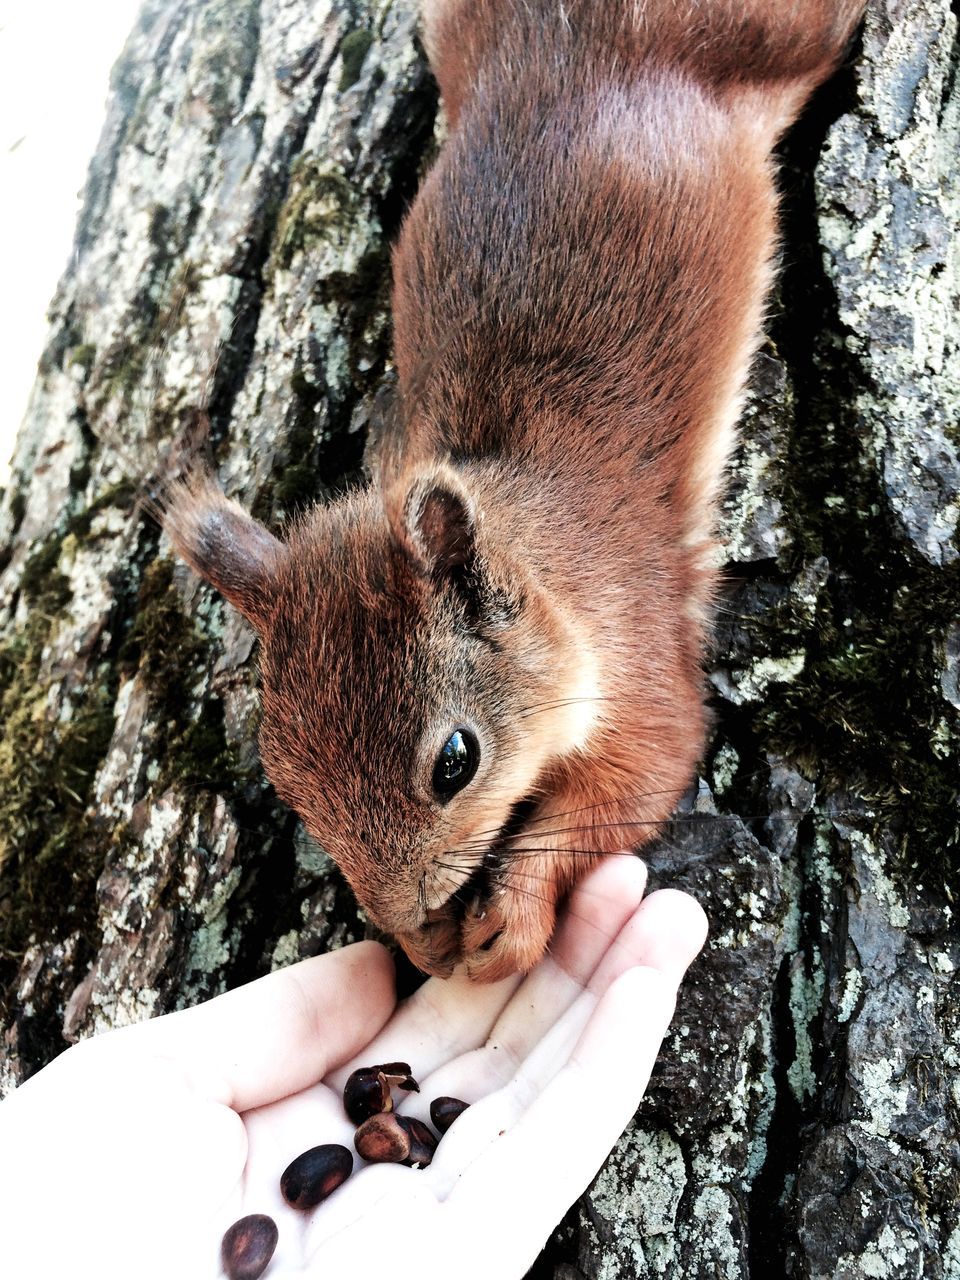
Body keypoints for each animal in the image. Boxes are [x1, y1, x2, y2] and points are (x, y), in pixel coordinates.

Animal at [165, 0, 870, 977]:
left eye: (455, 762)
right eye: (287, 780)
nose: (408, 921)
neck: (547, 563)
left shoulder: (641, 664)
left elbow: (631, 784)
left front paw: (510, 920)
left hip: (775, 37)